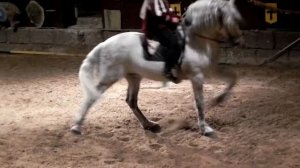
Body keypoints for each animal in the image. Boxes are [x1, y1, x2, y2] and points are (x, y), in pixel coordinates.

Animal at [71, 0, 244, 136]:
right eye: (231, 19)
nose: (237, 41)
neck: (196, 42)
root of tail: (105, 43)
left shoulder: (210, 70)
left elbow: (233, 78)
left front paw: (219, 99)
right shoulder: (197, 76)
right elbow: (199, 102)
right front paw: (205, 128)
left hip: (134, 77)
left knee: (131, 101)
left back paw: (149, 125)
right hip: (110, 76)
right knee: (93, 96)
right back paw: (77, 127)